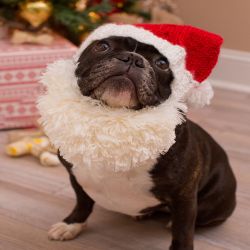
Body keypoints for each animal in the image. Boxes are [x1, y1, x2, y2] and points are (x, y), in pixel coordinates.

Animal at [39, 23, 236, 250]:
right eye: (103, 46)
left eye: (162, 63)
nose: (133, 58)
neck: (114, 123)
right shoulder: (76, 178)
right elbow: (83, 203)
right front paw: (72, 224)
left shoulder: (184, 196)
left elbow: (183, 231)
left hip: (211, 207)